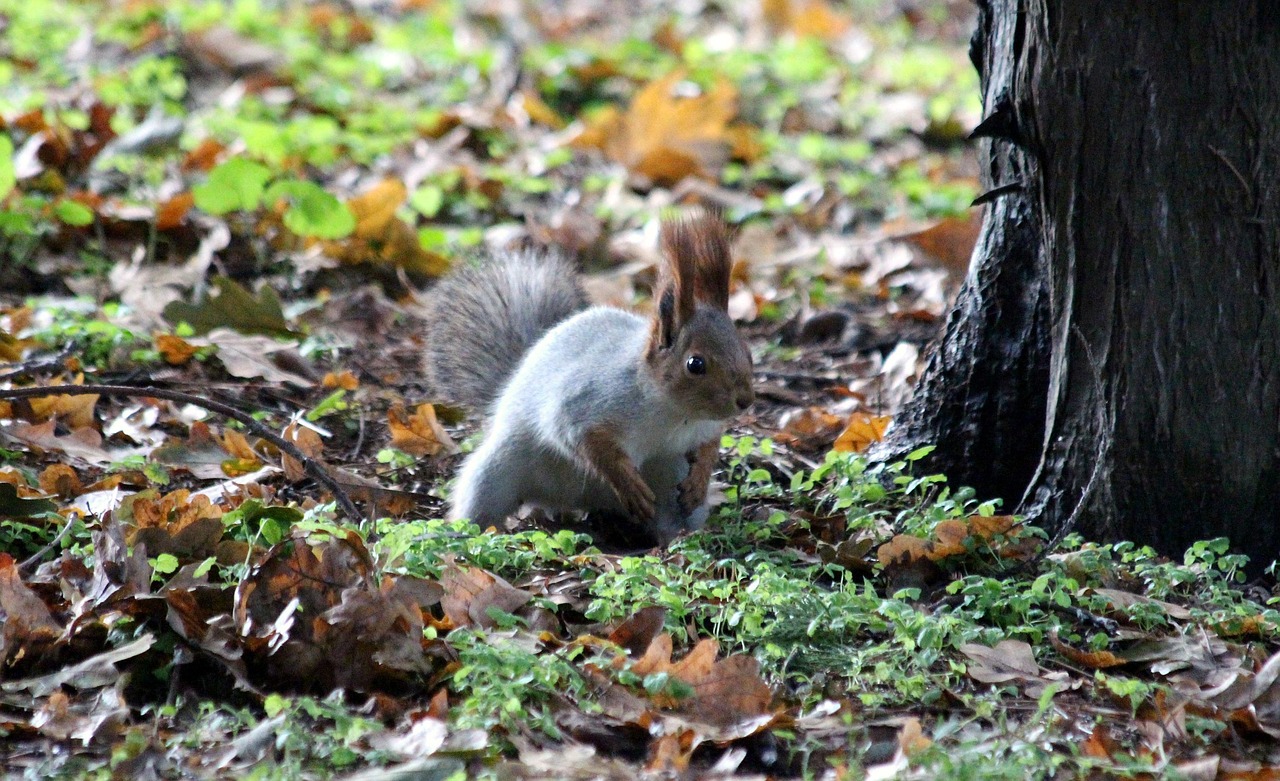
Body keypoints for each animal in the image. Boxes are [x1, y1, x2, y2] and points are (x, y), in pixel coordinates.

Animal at [424, 209, 752, 545]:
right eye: (695, 364)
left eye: (747, 350)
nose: (745, 401)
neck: (670, 412)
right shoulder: (587, 402)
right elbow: (584, 441)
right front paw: (628, 485)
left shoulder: (703, 427)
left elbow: (710, 445)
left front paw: (699, 480)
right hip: (496, 471)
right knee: (480, 502)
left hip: (668, 477)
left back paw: (677, 537)